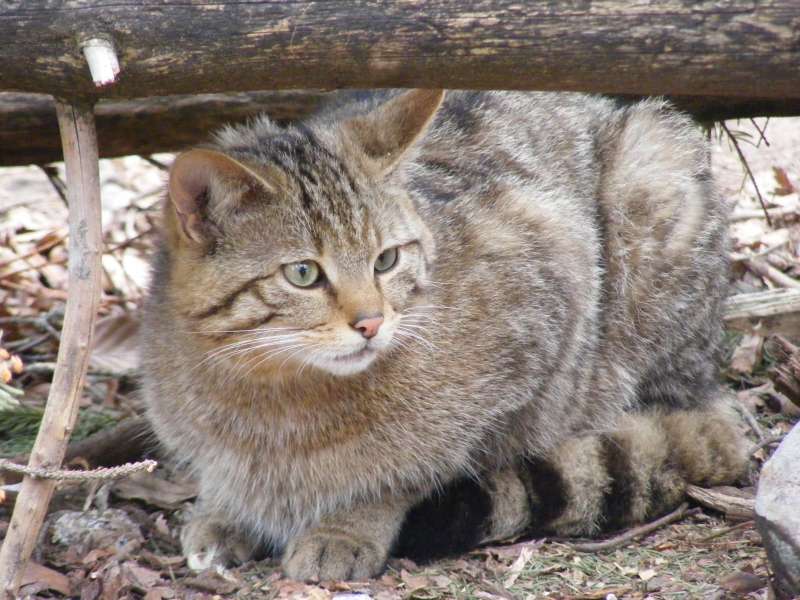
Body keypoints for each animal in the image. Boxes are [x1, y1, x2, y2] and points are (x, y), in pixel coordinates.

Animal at [141, 90, 748, 580]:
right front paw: (225, 511)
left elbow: (415, 465)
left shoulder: (553, 278)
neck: (272, 397)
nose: (371, 322)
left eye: (386, 260)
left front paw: (348, 524)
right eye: (304, 273)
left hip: (652, 172)